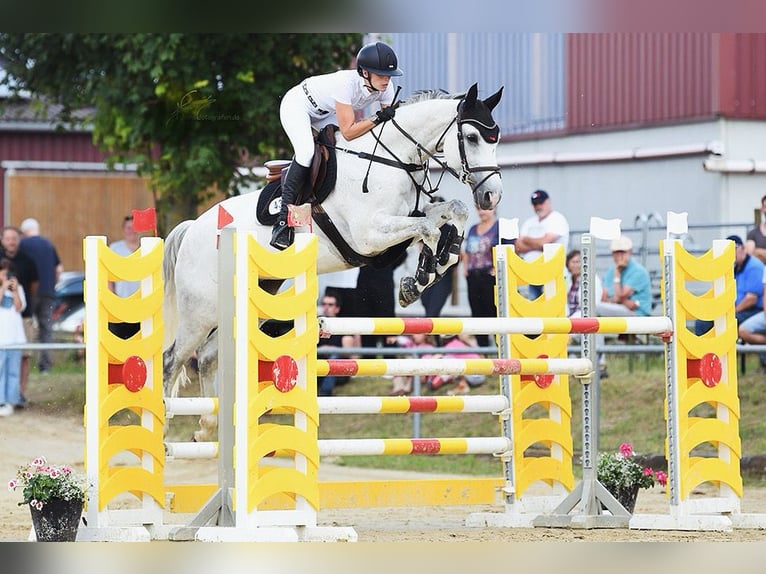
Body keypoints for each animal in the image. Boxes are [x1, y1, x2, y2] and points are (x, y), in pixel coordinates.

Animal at [163, 83, 508, 440]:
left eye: (496, 138)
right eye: (471, 137)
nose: (491, 197)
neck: (392, 161)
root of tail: (191, 230)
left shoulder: (402, 222)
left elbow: (453, 211)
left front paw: (430, 268)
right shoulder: (369, 236)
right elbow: (427, 227)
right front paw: (422, 275)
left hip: (255, 296)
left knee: (207, 356)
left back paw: (206, 429)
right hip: (200, 311)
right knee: (172, 359)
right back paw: (164, 432)